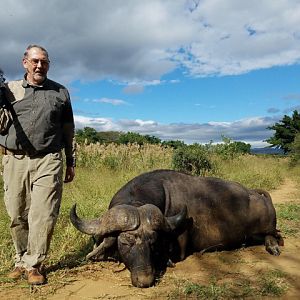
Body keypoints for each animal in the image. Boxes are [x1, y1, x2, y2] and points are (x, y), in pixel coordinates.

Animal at [70, 169, 284, 288]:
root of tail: (256, 195)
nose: (145, 280)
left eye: (153, 243)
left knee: (272, 235)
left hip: (268, 227)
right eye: (126, 242)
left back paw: (272, 247)